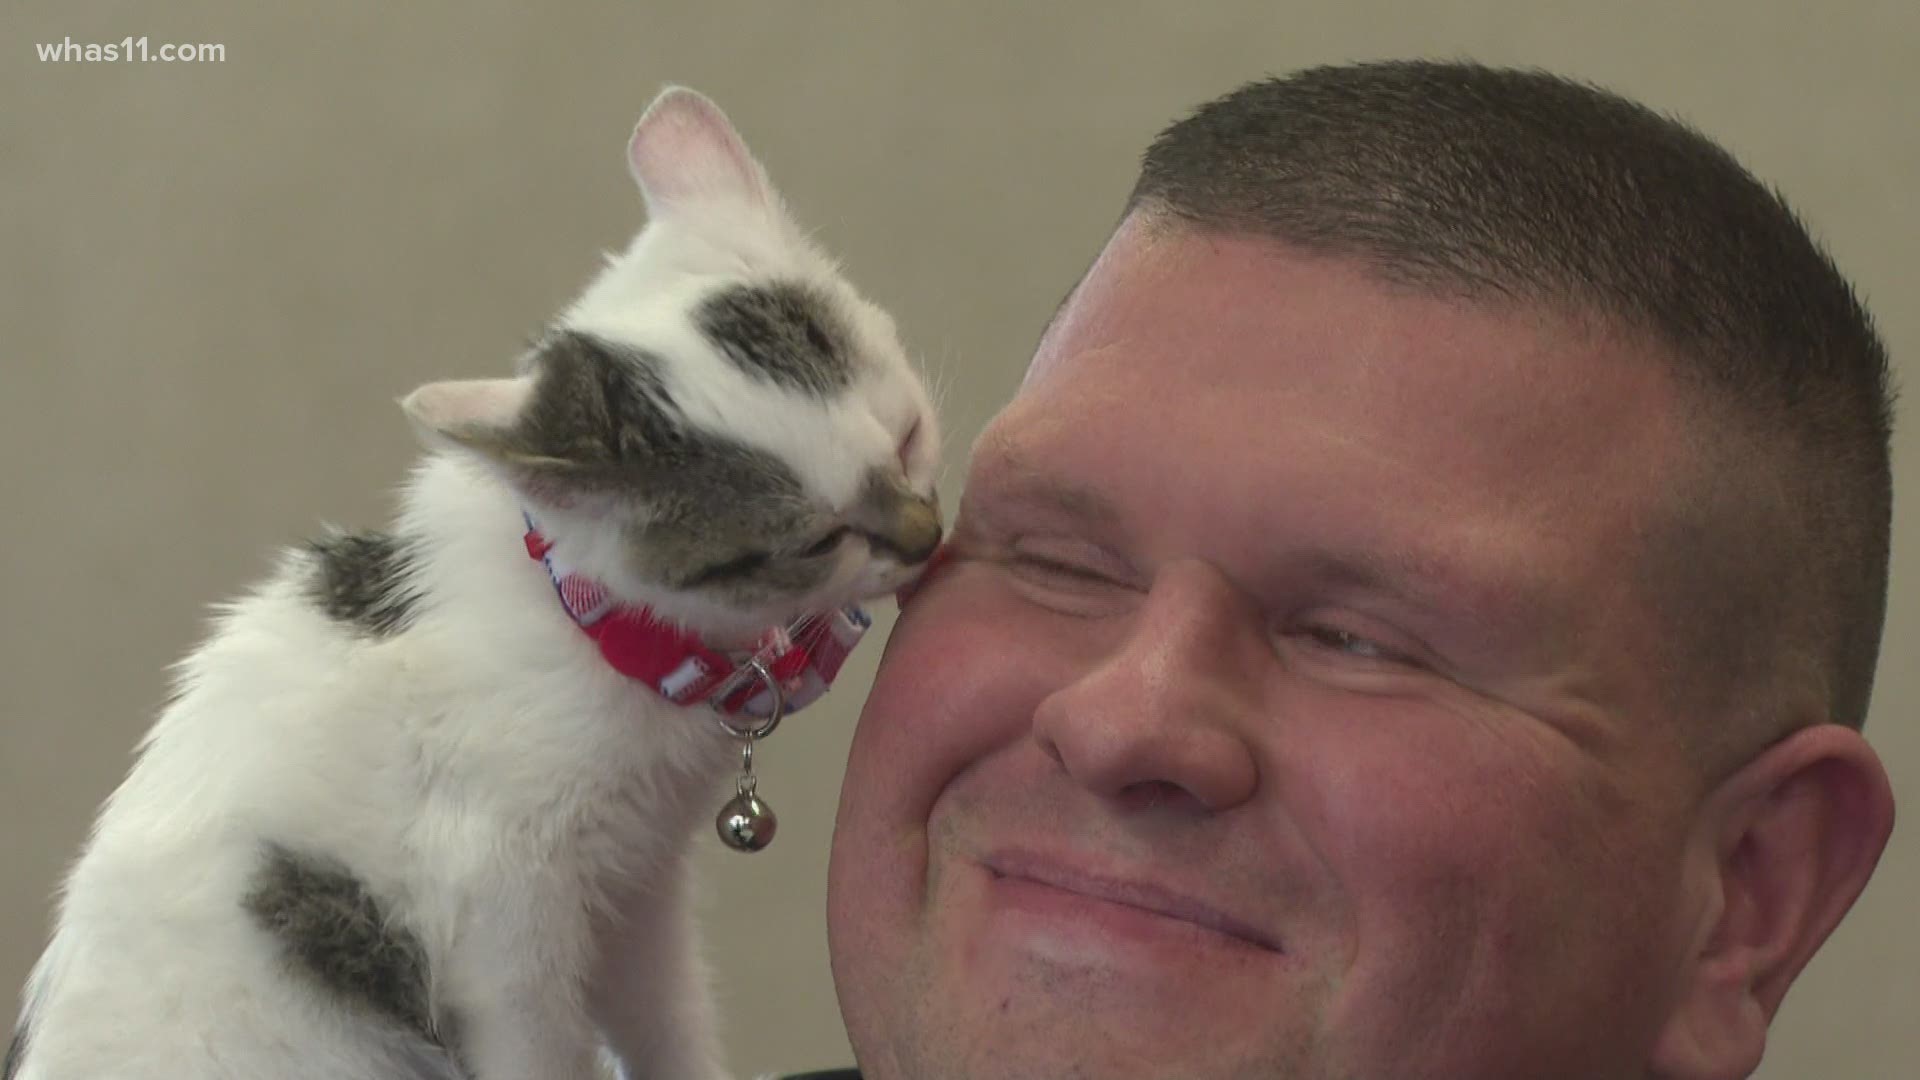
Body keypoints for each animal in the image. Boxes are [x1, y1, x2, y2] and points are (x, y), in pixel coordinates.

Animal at [3, 85, 940, 1076]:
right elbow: (540, 1049)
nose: (928, 535)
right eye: (817, 539)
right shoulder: (498, 918)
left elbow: (667, 1017)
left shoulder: (636, 894)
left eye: (911, 436)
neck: (595, 635)